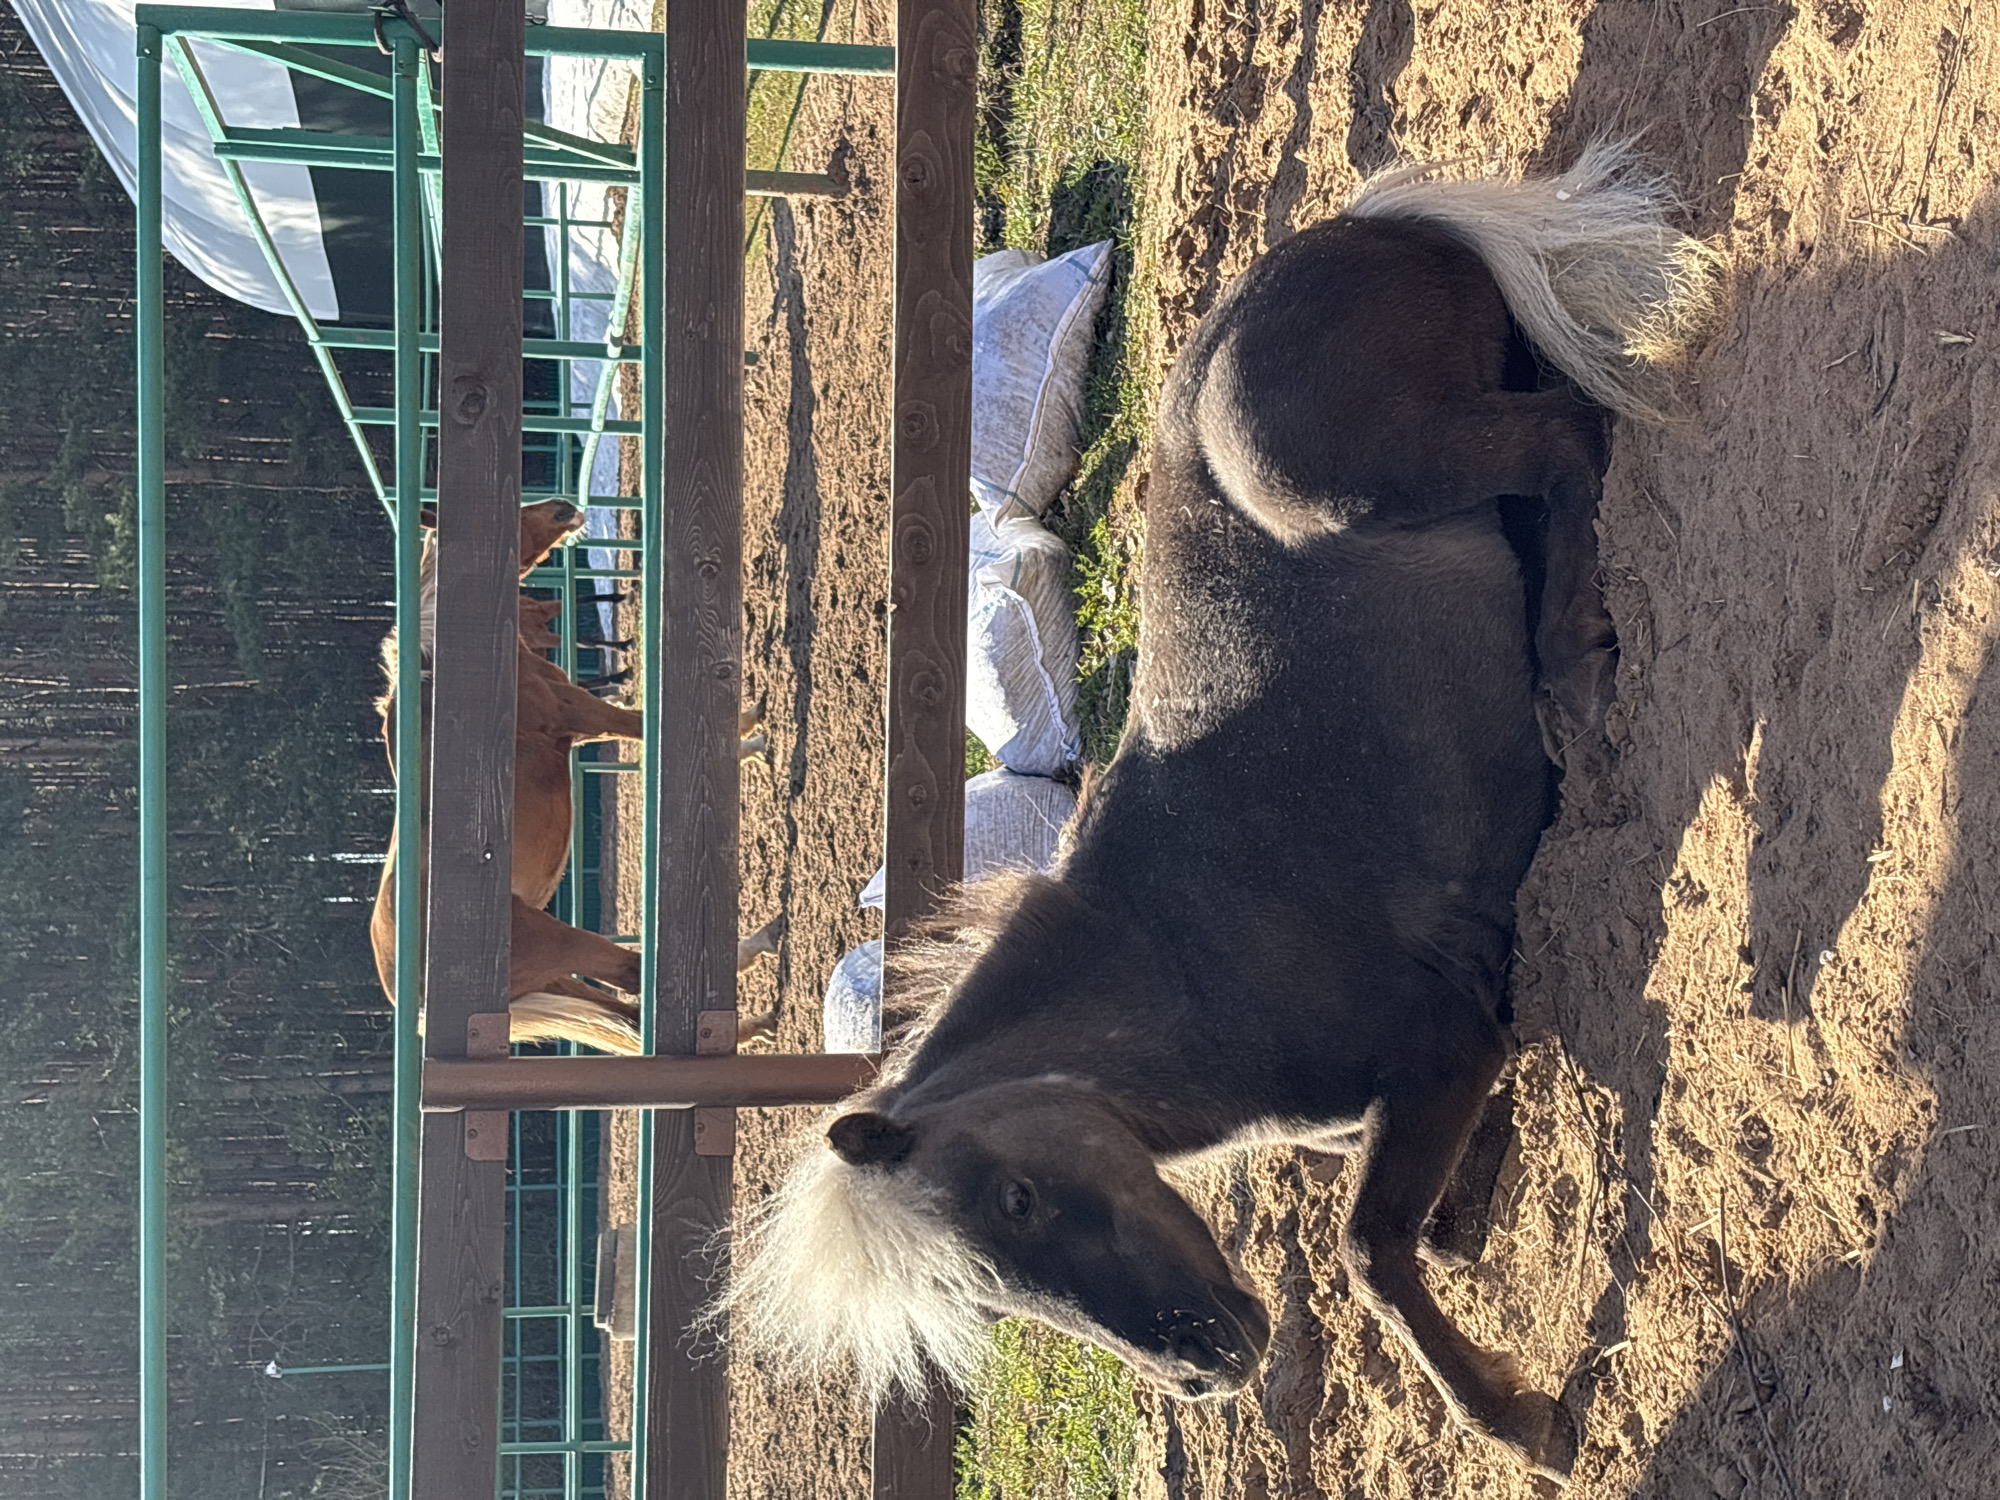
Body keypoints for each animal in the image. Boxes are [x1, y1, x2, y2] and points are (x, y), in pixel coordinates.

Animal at [726, 145, 1716, 1484]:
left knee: (1567, 438)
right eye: (983, 1295)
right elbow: (1414, 1228)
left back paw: (1573, 685)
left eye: (1017, 1202)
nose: (1199, 1372)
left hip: (1324, 481)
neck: (1183, 965)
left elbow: (1366, 1259)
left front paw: (1523, 1423)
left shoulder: (1438, 1043)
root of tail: (1362, 226)